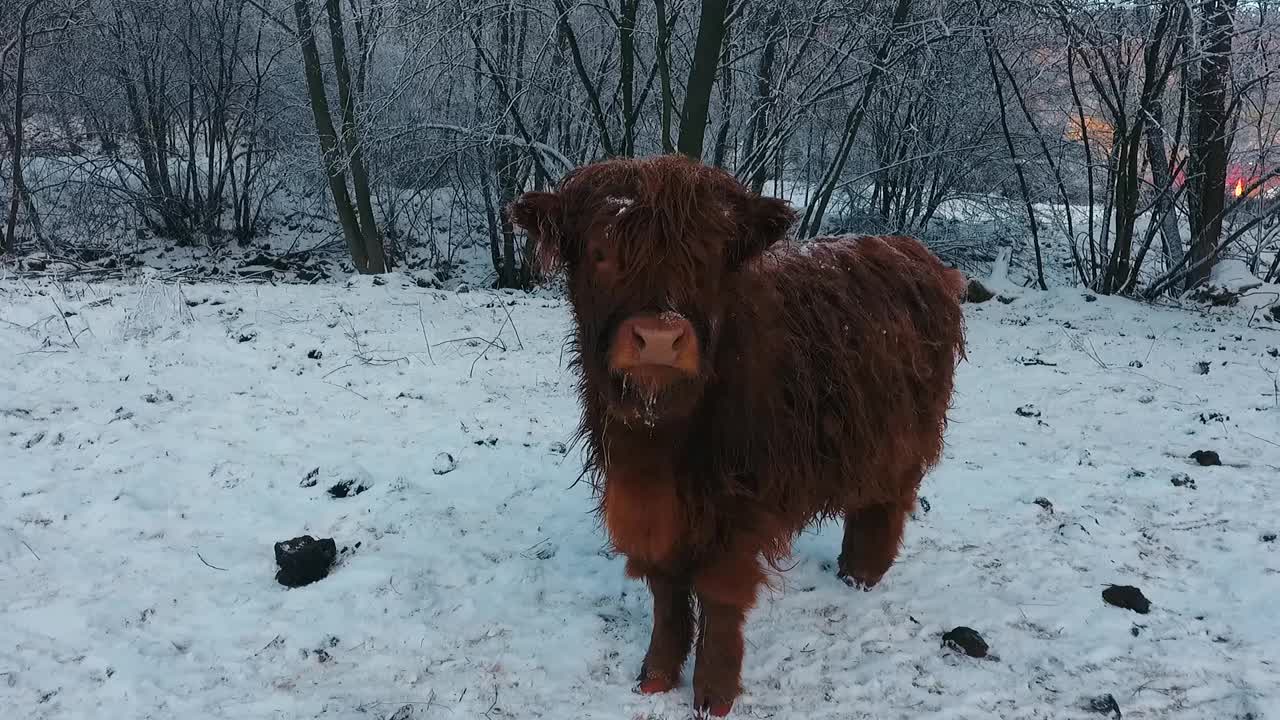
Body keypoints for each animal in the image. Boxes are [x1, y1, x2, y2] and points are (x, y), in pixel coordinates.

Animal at [509, 154, 967, 712]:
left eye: (708, 257)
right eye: (600, 252)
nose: (658, 337)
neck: (661, 437)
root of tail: (914, 252)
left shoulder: (741, 501)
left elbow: (720, 595)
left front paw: (713, 694)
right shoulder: (649, 503)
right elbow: (665, 591)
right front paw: (656, 675)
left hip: (902, 435)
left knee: (888, 501)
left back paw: (862, 574)